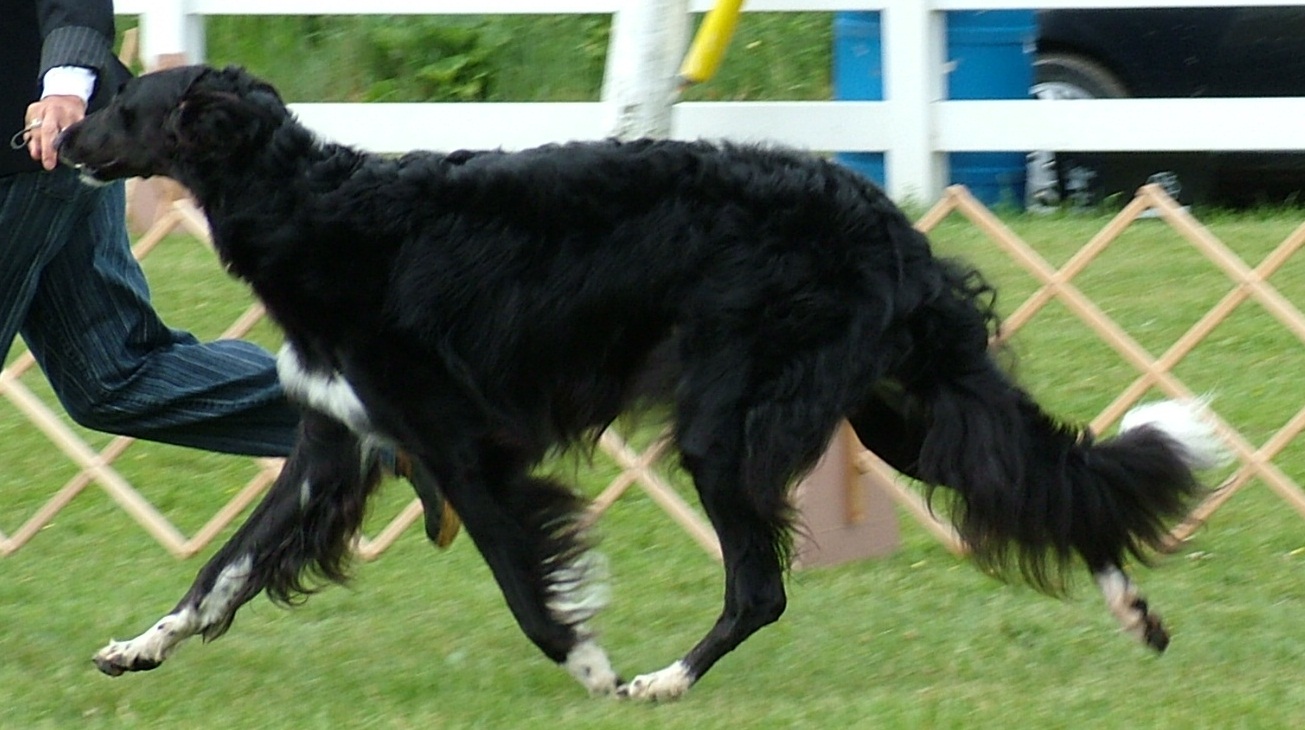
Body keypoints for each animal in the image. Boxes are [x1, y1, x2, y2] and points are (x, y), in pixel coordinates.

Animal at [58, 68, 1221, 705]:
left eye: (128, 105)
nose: (60, 135)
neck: (321, 210)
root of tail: (887, 221)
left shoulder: (460, 444)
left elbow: (527, 587)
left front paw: (589, 665)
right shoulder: (336, 442)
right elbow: (223, 568)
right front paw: (137, 645)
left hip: (726, 423)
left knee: (761, 588)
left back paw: (664, 679)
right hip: (896, 408)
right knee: (1041, 486)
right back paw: (1135, 612)